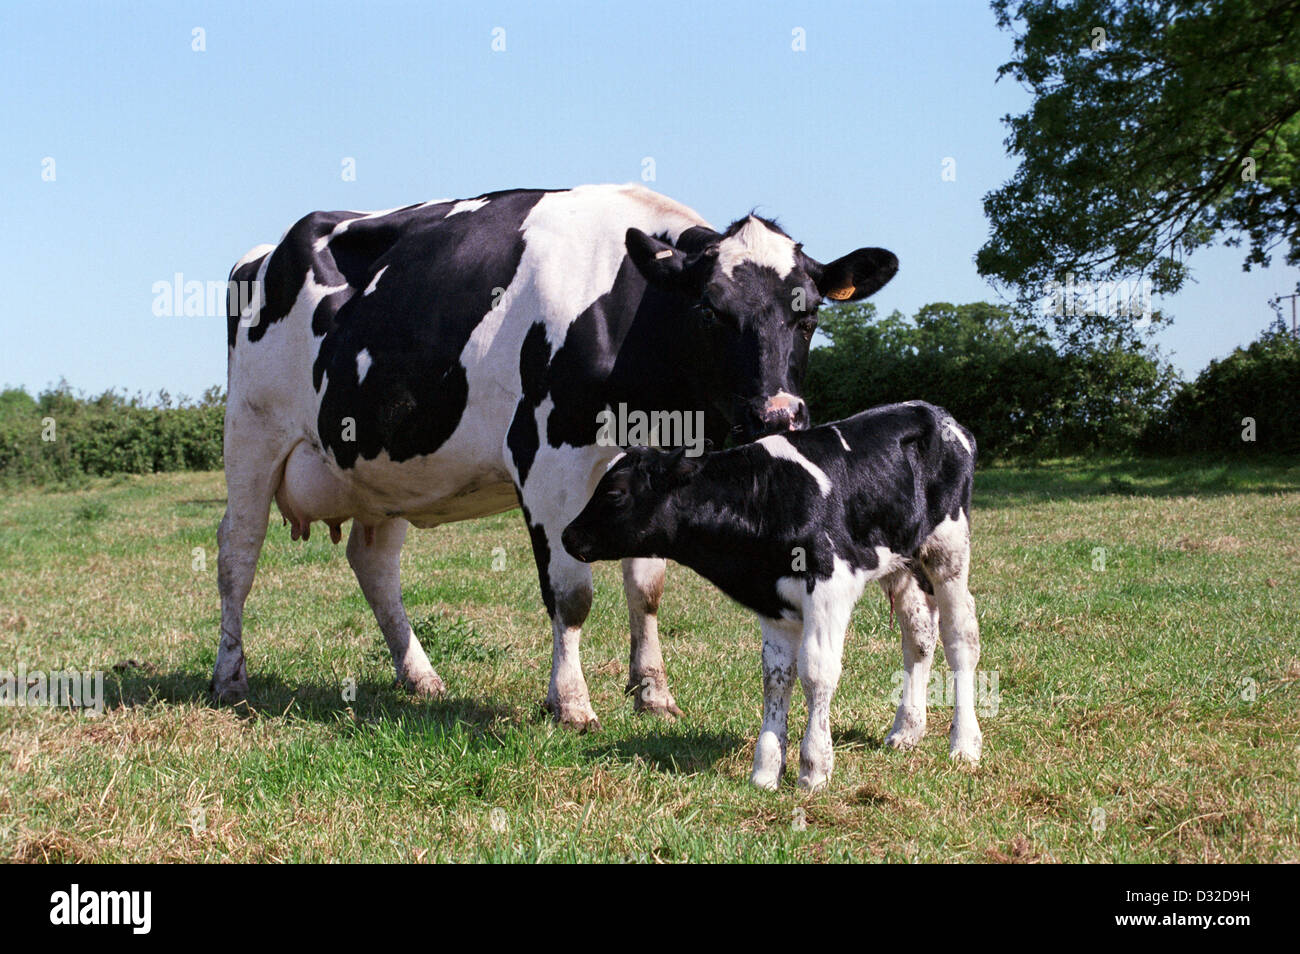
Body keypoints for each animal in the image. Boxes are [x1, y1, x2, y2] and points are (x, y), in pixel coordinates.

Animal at [218, 180, 899, 733]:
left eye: (809, 313)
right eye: (709, 309)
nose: (779, 416)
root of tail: (265, 251)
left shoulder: (657, 461)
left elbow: (647, 586)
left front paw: (653, 694)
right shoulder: (549, 464)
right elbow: (571, 594)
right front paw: (570, 702)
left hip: (380, 469)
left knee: (374, 563)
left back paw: (421, 677)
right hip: (252, 434)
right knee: (237, 554)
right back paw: (230, 678)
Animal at [564, 400, 977, 790]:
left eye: (615, 493)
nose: (568, 535)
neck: (763, 500)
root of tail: (937, 413)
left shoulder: (830, 588)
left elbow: (816, 673)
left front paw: (814, 769)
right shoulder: (772, 603)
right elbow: (777, 678)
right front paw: (765, 772)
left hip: (949, 549)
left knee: (961, 638)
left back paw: (965, 744)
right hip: (904, 563)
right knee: (919, 637)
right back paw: (906, 731)